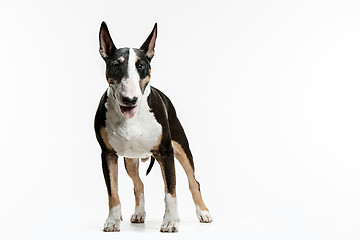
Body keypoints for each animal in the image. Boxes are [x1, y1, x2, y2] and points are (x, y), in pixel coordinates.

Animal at [94, 22, 212, 232]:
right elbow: (113, 191)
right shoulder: (107, 154)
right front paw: (112, 221)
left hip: (181, 146)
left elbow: (170, 190)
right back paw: (139, 214)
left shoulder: (166, 152)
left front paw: (171, 221)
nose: (130, 100)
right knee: (138, 184)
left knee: (193, 181)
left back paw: (203, 213)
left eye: (141, 65)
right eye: (116, 65)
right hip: (130, 160)